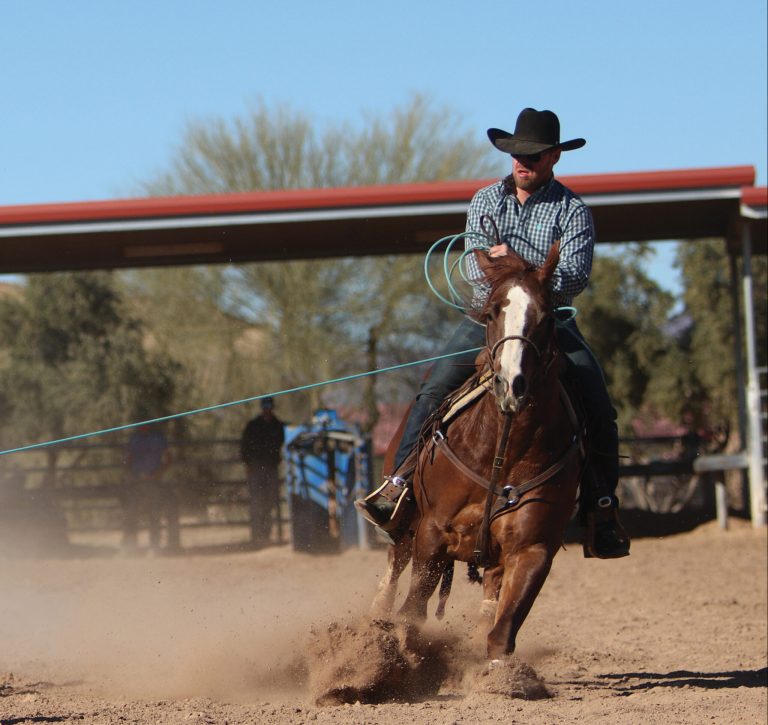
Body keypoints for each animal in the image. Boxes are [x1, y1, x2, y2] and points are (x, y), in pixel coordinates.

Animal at [370, 245, 584, 660]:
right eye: (491, 313)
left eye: (548, 316)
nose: (511, 384)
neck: (502, 452)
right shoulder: (432, 532)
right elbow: (412, 613)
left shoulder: (533, 548)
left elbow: (502, 632)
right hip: (405, 525)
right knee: (392, 571)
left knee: (490, 598)